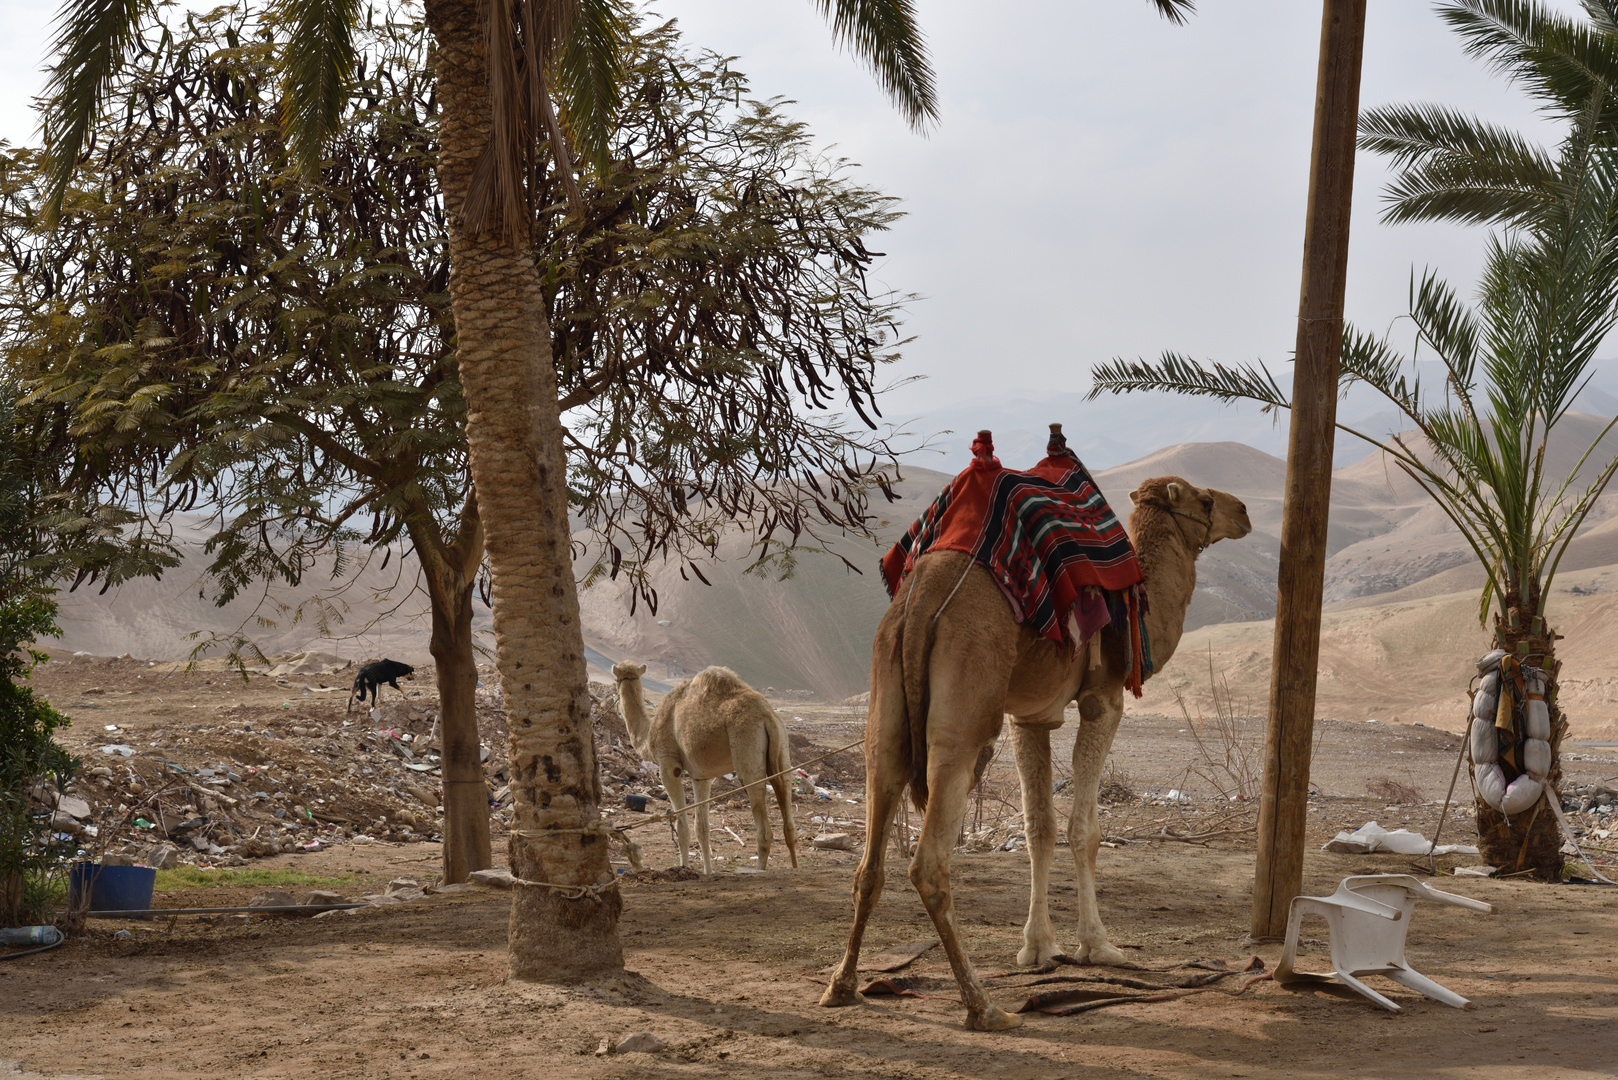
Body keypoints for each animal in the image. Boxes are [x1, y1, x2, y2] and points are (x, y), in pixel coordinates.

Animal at [611, 663, 802, 874]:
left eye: (615, 679)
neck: (649, 733)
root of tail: (768, 716)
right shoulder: (701, 777)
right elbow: (702, 828)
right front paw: (707, 872)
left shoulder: (668, 764)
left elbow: (683, 828)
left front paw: (683, 869)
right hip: (783, 751)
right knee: (789, 822)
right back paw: (795, 868)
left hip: (747, 746)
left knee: (764, 829)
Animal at [821, 424, 1249, 1029]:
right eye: (1205, 500)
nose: (1244, 511)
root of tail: (921, 598)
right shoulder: (1103, 700)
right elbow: (1084, 828)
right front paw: (1098, 946)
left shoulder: (1029, 714)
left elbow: (1038, 827)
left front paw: (1039, 948)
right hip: (964, 715)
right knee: (928, 863)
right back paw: (983, 1006)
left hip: (885, 704)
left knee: (870, 856)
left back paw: (841, 984)